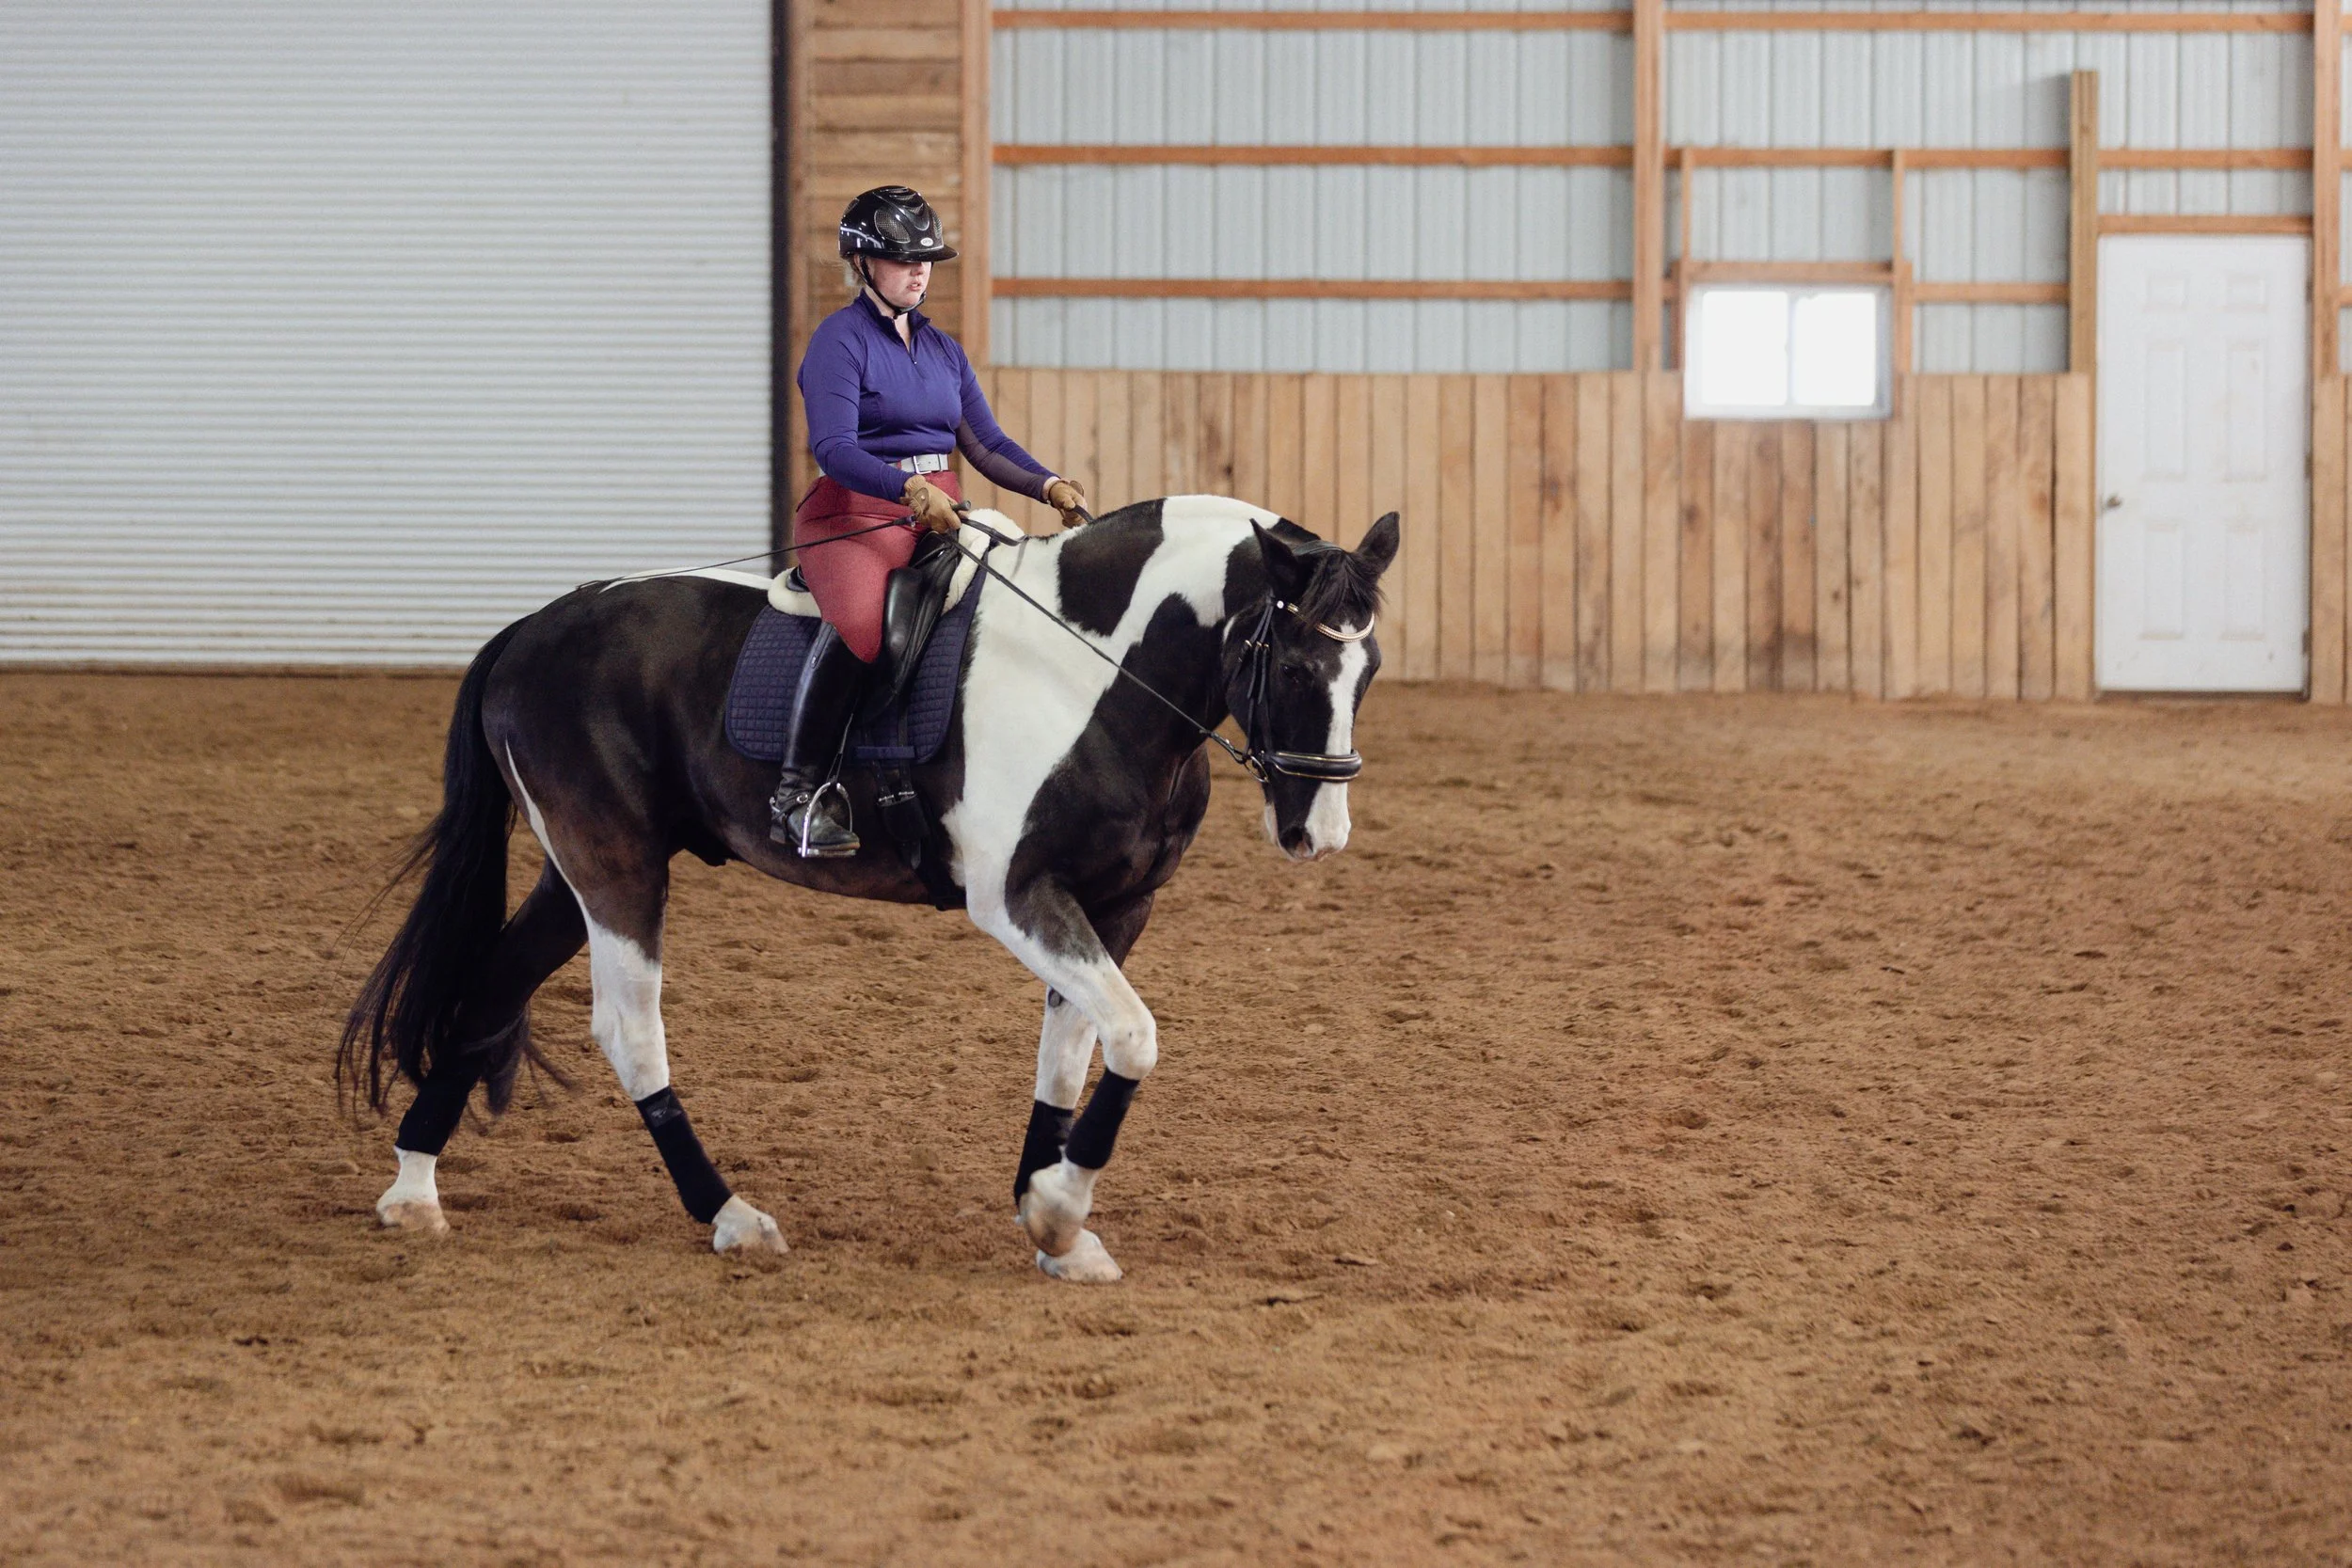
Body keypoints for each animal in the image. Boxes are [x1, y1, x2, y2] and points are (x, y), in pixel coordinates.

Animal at [338, 496, 1400, 1282]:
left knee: (493, 985)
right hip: (615, 862)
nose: (1318, 833)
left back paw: (413, 1189)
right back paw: (731, 1216)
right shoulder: (1017, 896)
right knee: (628, 1029)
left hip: (577, 871)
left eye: (1370, 667)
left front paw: (1047, 1217)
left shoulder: (1113, 905)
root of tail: (532, 627)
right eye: (1295, 663)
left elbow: (1069, 1052)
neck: (1091, 674)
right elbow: (1134, 1035)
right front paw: (1058, 1209)